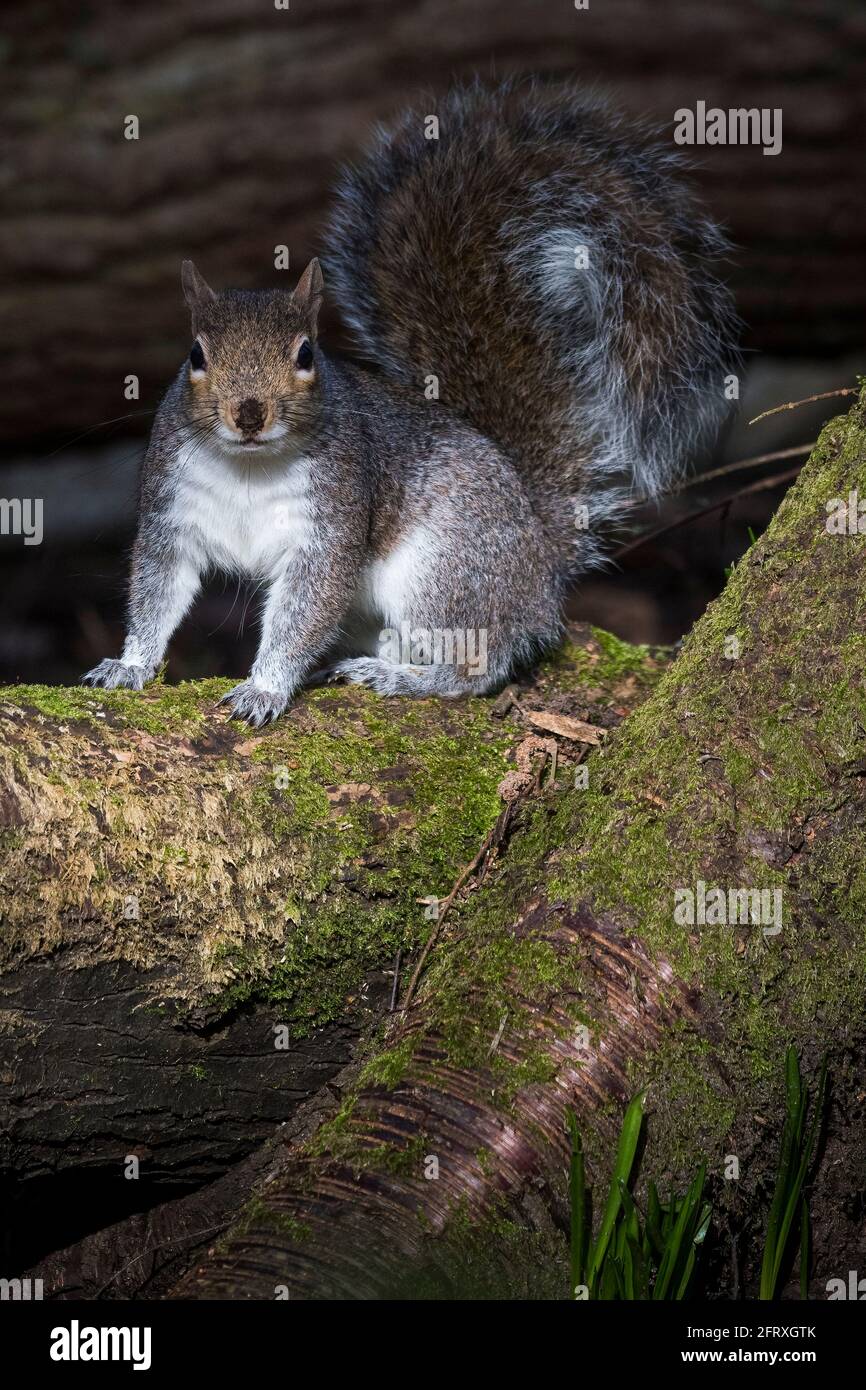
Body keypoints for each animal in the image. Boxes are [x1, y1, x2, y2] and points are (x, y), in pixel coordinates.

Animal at [84, 79, 738, 726]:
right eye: (196, 355)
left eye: (306, 355)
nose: (249, 412)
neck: (250, 464)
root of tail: (541, 566)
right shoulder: (172, 512)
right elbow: (157, 590)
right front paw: (130, 665)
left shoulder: (330, 524)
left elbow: (303, 611)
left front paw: (265, 688)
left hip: (442, 572)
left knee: (479, 667)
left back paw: (400, 678)